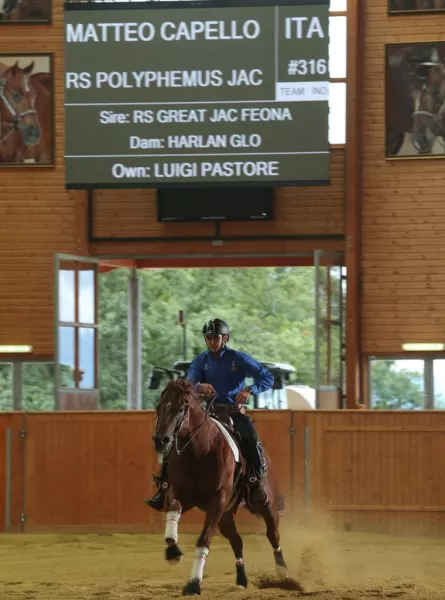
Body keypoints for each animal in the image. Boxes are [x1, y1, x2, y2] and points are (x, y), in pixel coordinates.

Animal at [151, 380, 294, 596]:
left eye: (180, 409)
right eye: (159, 407)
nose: (161, 440)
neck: (200, 451)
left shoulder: (217, 502)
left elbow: (203, 540)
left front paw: (194, 583)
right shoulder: (180, 494)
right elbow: (173, 510)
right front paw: (173, 551)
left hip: (266, 506)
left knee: (273, 534)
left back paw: (282, 570)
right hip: (225, 517)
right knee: (237, 541)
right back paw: (241, 579)